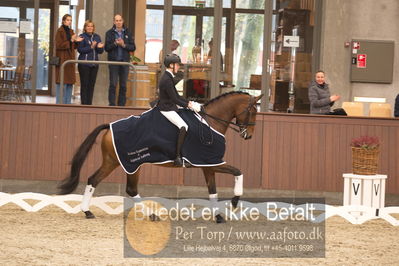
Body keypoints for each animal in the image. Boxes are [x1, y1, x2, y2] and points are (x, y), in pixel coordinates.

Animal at [57, 91, 264, 222]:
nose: (249, 135)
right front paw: (235, 201)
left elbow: (213, 191)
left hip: (114, 161)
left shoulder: (208, 165)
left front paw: (219, 217)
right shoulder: (212, 163)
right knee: (129, 189)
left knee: (95, 180)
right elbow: (238, 171)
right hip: (128, 163)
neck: (210, 122)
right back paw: (150, 215)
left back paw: (88, 211)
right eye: (253, 111)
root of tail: (109, 126)